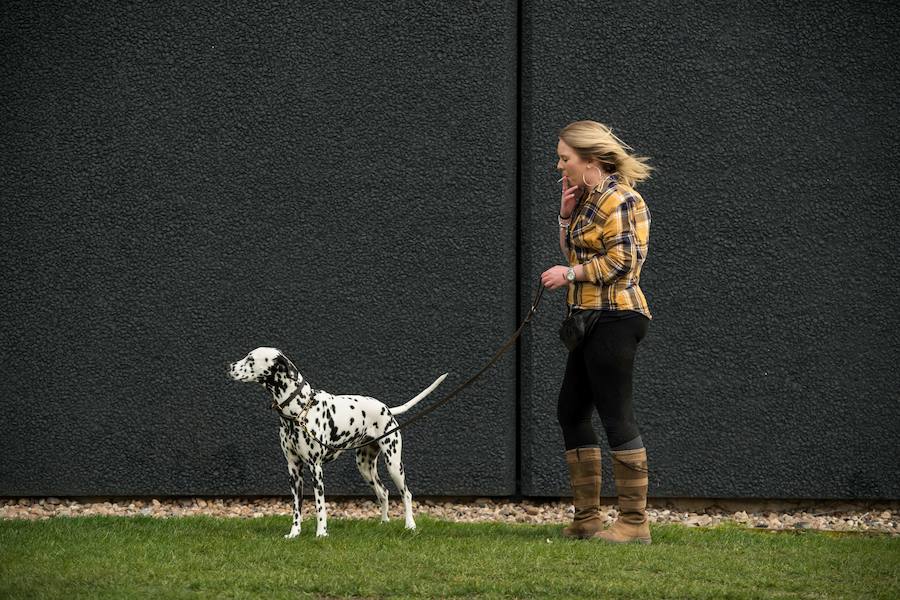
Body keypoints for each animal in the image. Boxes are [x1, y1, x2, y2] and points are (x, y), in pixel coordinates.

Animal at [229, 346, 446, 540]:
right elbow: (296, 508)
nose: (229, 366)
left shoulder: (315, 468)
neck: (299, 409)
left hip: (394, 464)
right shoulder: (294, 470)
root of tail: (387, 408)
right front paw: (294, 533)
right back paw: (384, 523)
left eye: (250, 359)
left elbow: (320, 506)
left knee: (406, 494)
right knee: (383, 492)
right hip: (365, 467)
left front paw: (321, 533)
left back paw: (410, 525)